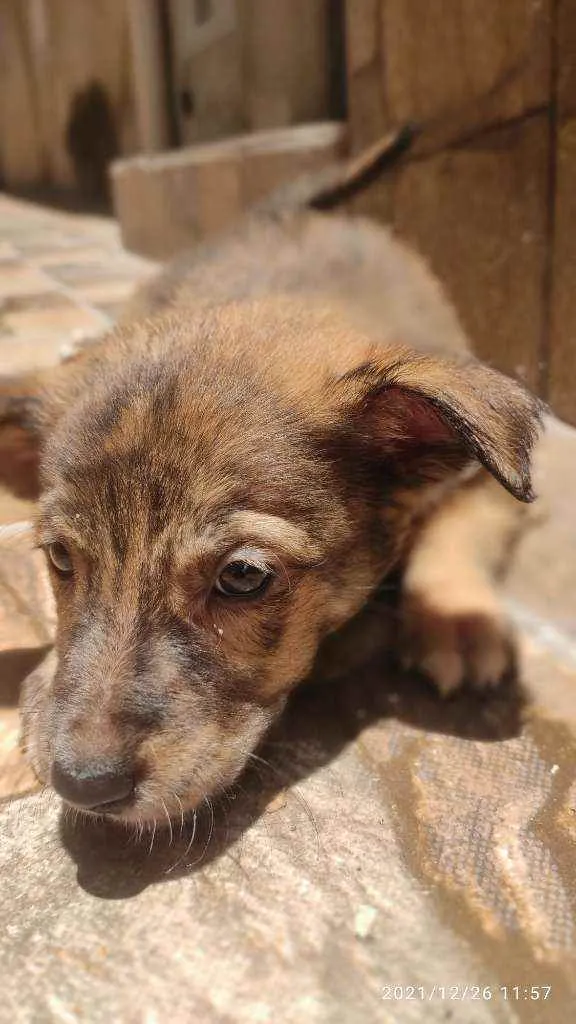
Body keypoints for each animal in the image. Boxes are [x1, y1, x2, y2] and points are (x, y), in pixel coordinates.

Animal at [0, 149, 537, 823]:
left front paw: (459, 622)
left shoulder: (485, 476)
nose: (83, 785)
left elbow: (461, 531)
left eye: (242, 577)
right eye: (60, 558)